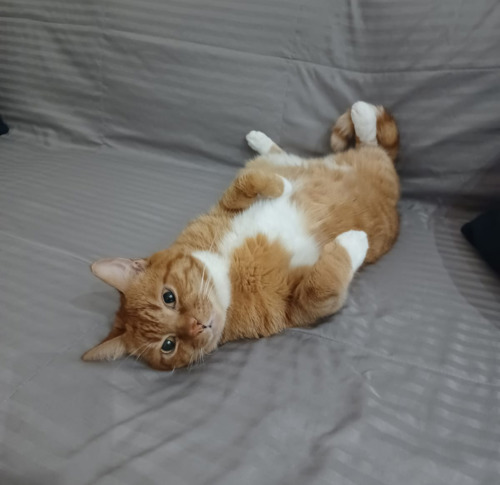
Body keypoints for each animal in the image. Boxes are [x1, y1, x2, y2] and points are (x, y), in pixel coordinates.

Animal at [84, 100, 400, 368]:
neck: (229, 275)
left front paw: (282, 187)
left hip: (336, 162)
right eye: (169, 345)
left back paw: (354, 117)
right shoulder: (302, 307)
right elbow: (322, 283)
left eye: (168, 297)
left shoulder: (225, 206)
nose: (197, 325)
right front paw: (354, 240)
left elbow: (246, 183)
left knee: (358, 147)